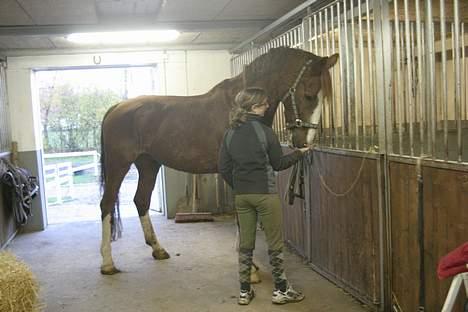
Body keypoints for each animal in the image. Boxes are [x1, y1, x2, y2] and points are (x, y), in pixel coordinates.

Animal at [100, 46, 338, 272]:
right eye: (309, 95)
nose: (304, 142)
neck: (241, 112)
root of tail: (116, 108)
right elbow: (242, 214)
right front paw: (250, 268)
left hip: (148, 164)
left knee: (141, 200)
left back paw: (158, 250)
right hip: (119, 164)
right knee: (107, 204)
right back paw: (108, 263)